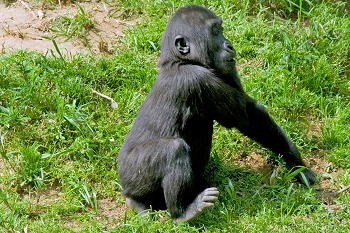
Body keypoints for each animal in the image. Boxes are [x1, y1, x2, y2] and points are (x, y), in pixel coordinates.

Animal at [118, 3, 318, 222]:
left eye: (221, 30)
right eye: (215, 32)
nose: (229, 45)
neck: (179, 61)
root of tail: (125, 189)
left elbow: (251, 113)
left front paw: (296, 163)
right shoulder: (196, 79)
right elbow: (244, 116)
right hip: (132, 173)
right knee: (173, 149)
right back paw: (183, 213)